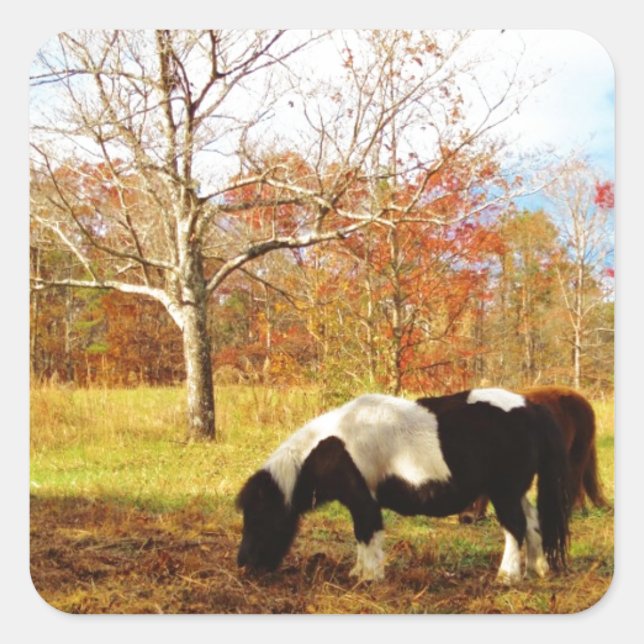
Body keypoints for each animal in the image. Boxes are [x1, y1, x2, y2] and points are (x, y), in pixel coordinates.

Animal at [236, 388, 571, 582]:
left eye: (260, 517)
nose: (244, 564)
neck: (332, 445)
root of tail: (531, 408)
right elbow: (362, 537)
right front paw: (359, 571)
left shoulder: (363, 500)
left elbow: (366, 534)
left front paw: (369, 577)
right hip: (515, 491)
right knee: (532, 522)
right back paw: (537, 568)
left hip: (504, 491)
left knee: (515, 526)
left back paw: (507, 576)